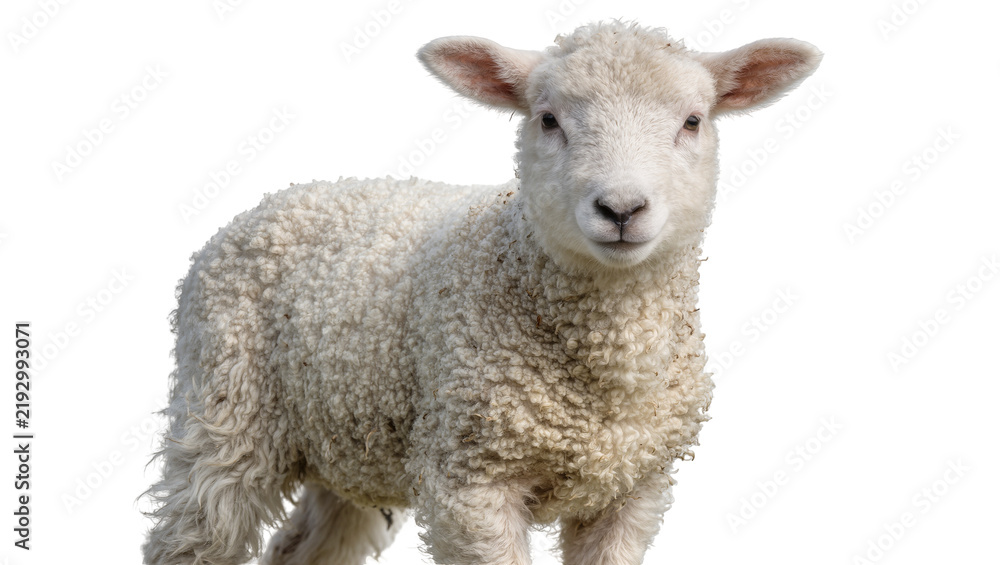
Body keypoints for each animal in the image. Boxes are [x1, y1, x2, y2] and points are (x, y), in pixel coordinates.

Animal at [142, 20, 821, 565]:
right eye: (548, 119)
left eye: (692, 121)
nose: (622, 209)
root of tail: (279, 196)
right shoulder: (471, 480)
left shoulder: (634, 486)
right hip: (226, 412)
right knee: (194, 536)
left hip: (346, 442)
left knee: (304, 546)